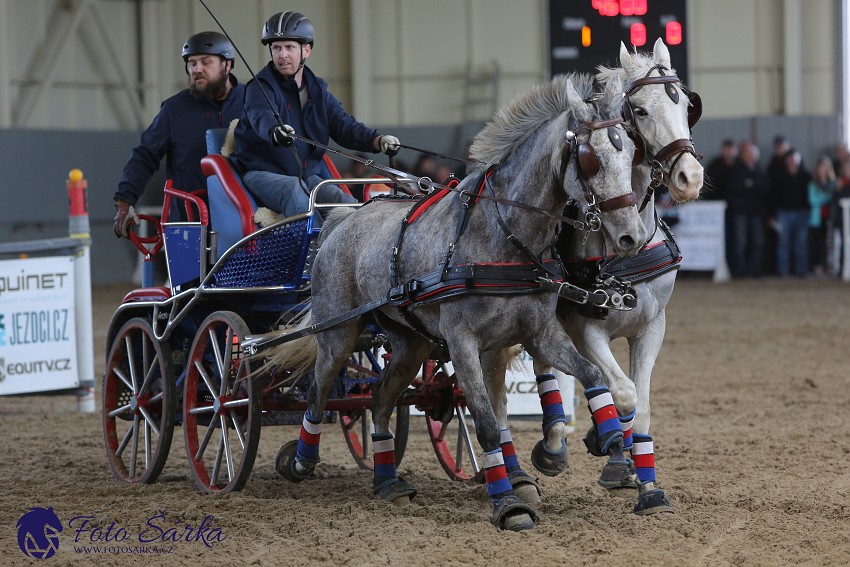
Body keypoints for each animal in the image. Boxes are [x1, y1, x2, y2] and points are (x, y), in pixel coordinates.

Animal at [264, 73, 644, 532]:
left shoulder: (540, 334)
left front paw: (611, 442)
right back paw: (301, 461)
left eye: (631, 154)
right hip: (338, 333)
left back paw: (388, 482)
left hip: (411, 343)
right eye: (591, 160)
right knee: (319, 394)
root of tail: (341, 219)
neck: (502, 235)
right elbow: (485, 423)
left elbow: (591, 376)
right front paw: (508, 504)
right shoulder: (463, 343)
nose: (630, 236)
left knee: (380, 399)